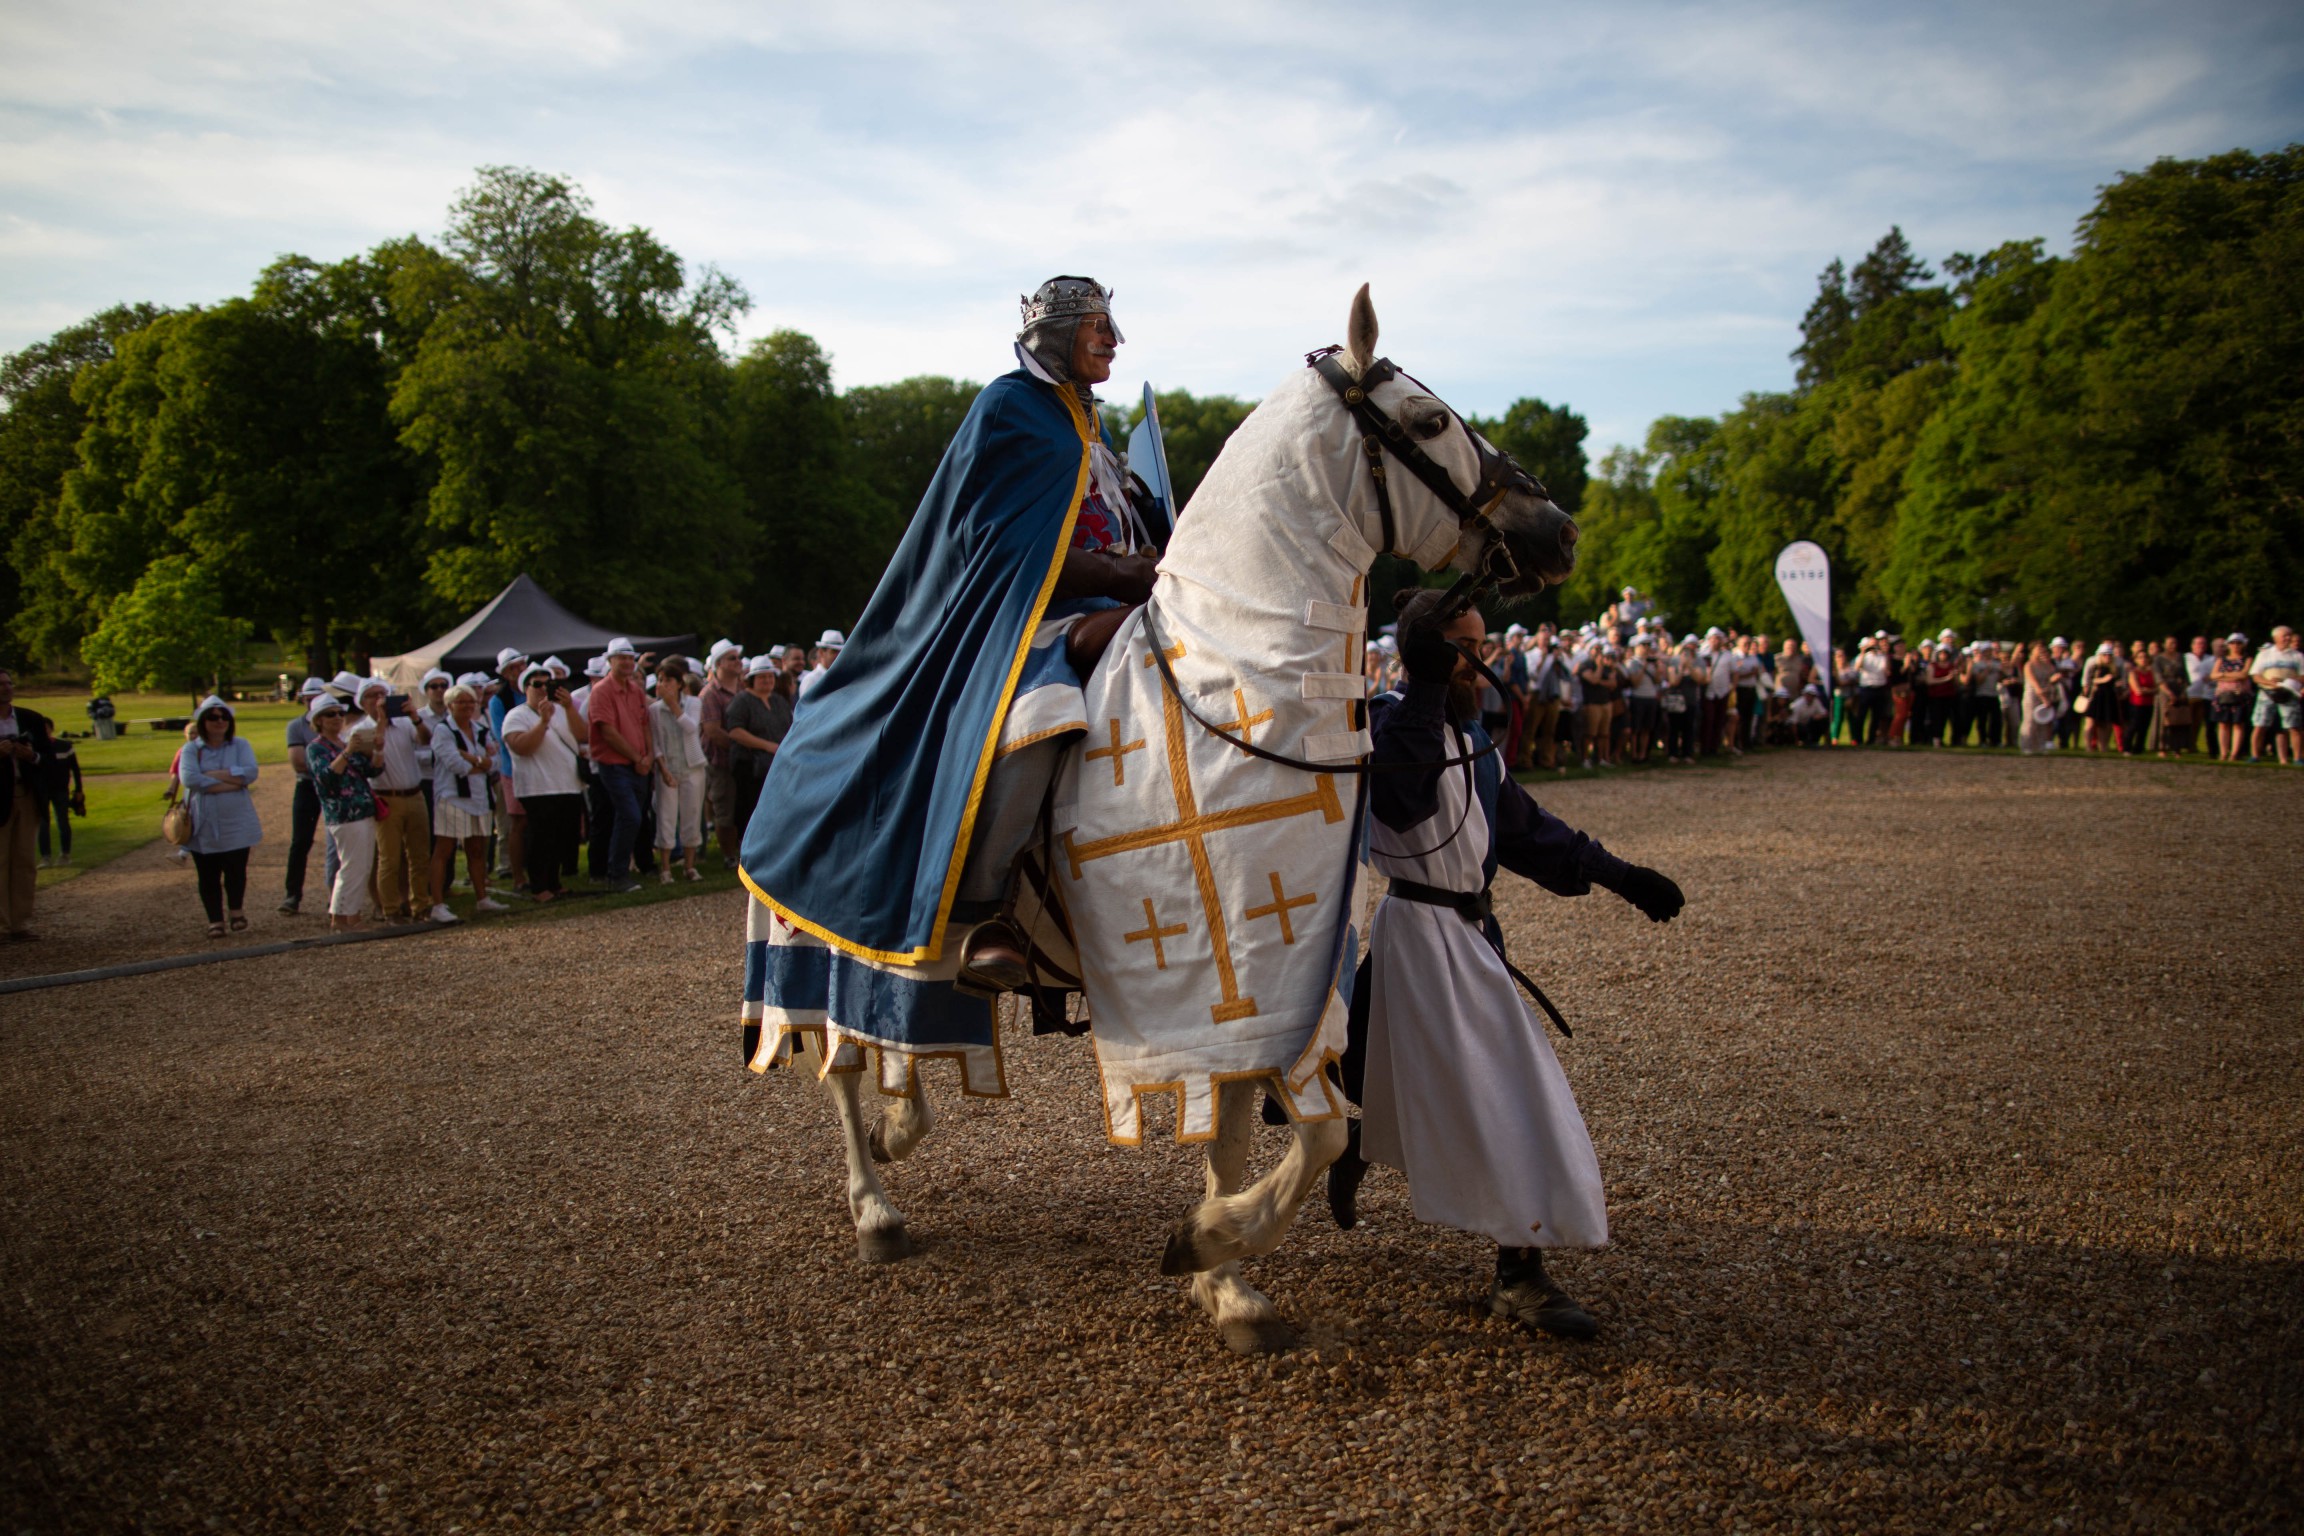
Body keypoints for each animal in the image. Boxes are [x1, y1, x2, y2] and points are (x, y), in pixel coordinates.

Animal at [787, 282, 1566, 1354]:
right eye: (1427, 422)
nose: (1555, 526)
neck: (1237, 684)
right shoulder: (1207, 967)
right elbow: (1307, 1130)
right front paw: (1209, 1245)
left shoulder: (1264, 974)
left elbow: (1277, 1132)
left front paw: (1224, 1276)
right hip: (826, 927)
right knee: (840, 1060)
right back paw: (873, 1203)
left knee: (891, 1035)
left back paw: (903, 1128)